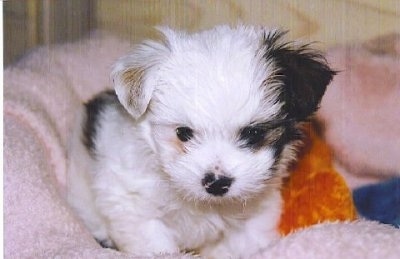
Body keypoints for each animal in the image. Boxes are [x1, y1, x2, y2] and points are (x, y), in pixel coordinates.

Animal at [67, 25, 336, 258]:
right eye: (183, 133)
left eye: (253, 133)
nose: (217, 182)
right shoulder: (132, 205)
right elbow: (154, 242)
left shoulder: (256, 213)